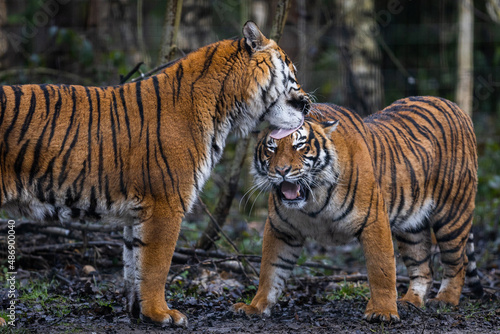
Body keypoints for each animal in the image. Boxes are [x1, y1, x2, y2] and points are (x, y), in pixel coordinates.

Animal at [0, 21, 312, 326]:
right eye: (292, 73)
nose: (308, 103)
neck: (226, 109)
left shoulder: (138, 213)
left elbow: (134, 264)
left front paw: (139, 312)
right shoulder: (166, 203)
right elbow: (156, 266)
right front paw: (161, 314)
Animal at [234, 98, 484, 322]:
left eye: (299, 145)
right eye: (271, 148)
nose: (282, 171)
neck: (313, 199)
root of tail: (455, 107)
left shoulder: (374, 220)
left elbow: (381, 269)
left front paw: (383, 312)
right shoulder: (281, 229)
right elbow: (270, 270)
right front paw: (255, 307)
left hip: (452, 214)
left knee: (457, 262)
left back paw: (445, 300)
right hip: (411, 227)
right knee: (423, 267)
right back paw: (410, 301)